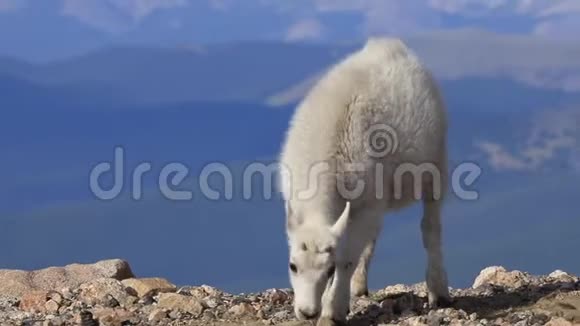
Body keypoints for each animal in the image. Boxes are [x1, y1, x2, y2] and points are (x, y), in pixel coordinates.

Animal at [278, 37, 450, 324]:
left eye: (328, 269)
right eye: (293, 265)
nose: (307, 312)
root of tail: (390, 45)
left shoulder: (366, 205)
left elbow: (346, 258)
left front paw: (332, 312)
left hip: (436, 163)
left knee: (431, 227)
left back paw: (439, 291)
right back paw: (359, 287)